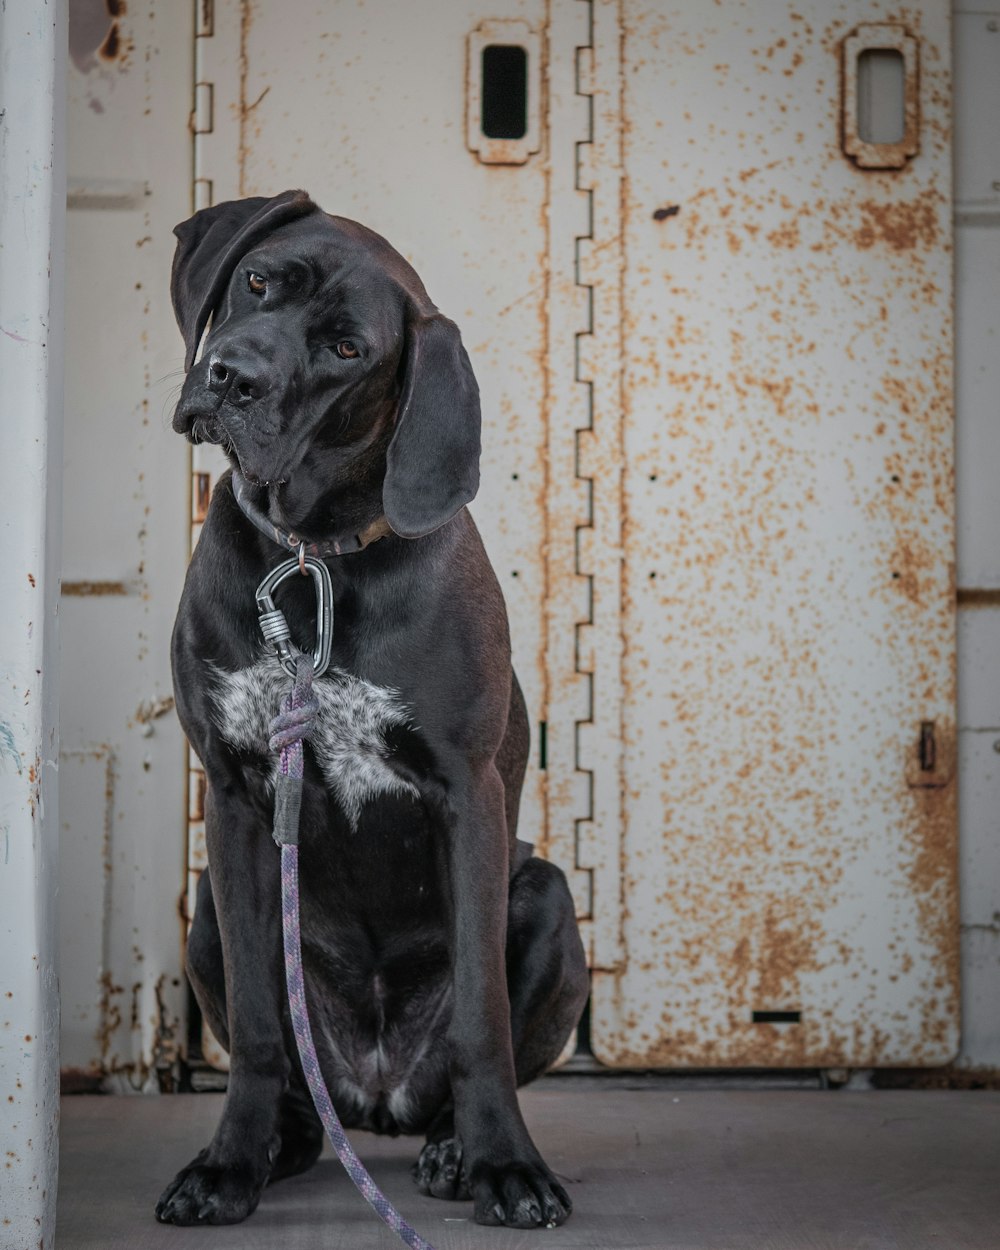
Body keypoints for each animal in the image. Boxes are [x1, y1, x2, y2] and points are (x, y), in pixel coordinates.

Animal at [157, 190, 590, 1225]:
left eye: (348, 349)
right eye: (257, 280)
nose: (230, 376)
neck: (315, 554)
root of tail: (376, 1094)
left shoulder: (465, 795)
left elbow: (482, 1019)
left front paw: (507, 1165)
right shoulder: (235, 799)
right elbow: (261, 1030)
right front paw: (227, 1166)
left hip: (549, 894)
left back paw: (453, 1148)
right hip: (206, 913)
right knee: (297, 1081)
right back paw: (284, 1139)